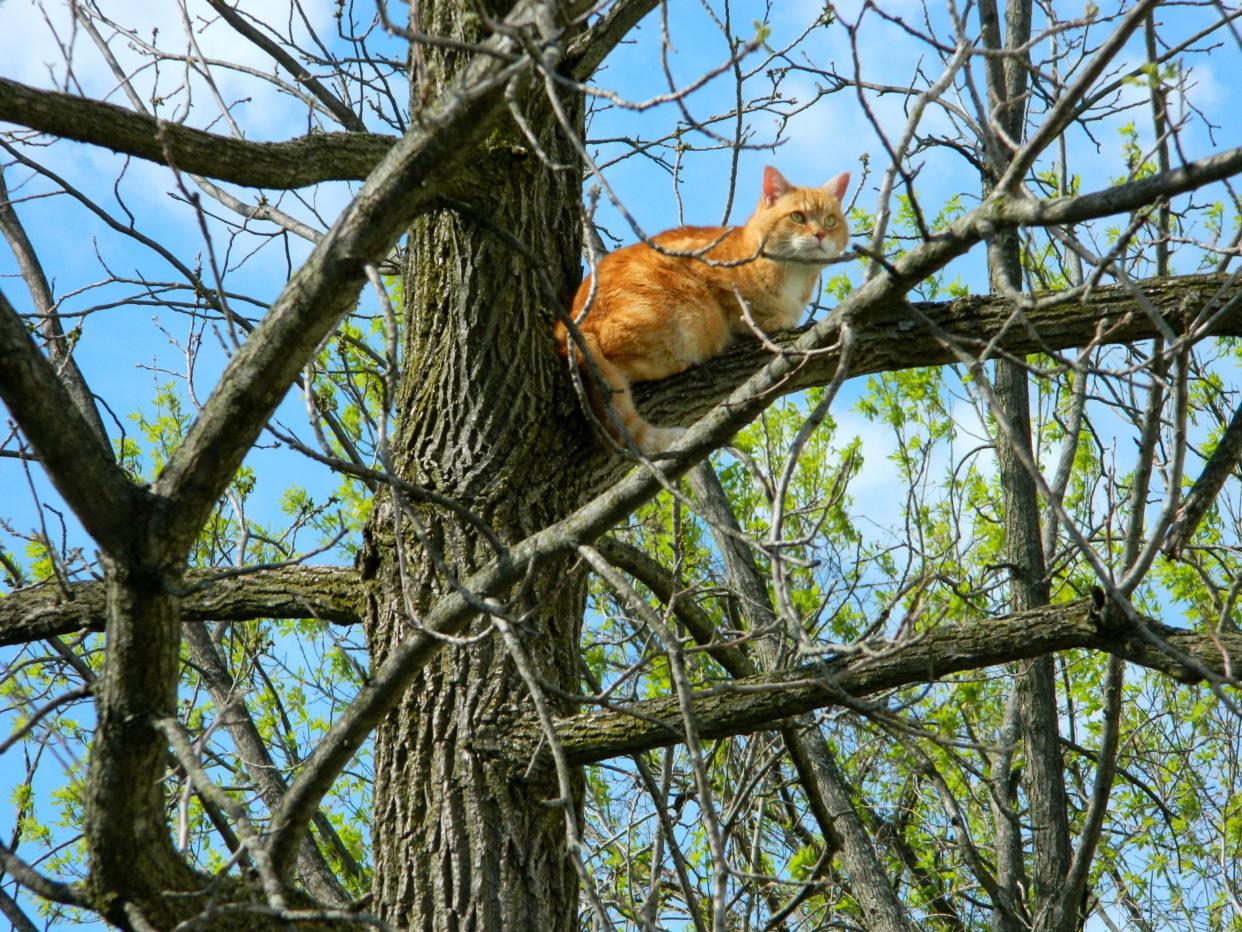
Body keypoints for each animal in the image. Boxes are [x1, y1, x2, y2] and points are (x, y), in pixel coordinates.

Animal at [556, 170, 854, 457]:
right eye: (797, 217)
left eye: (830, 221)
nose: (820, 235)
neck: (793, 276)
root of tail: (573, 325)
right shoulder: (713, 278)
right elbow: (742, 313)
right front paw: (769, 320)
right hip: (690, 313)